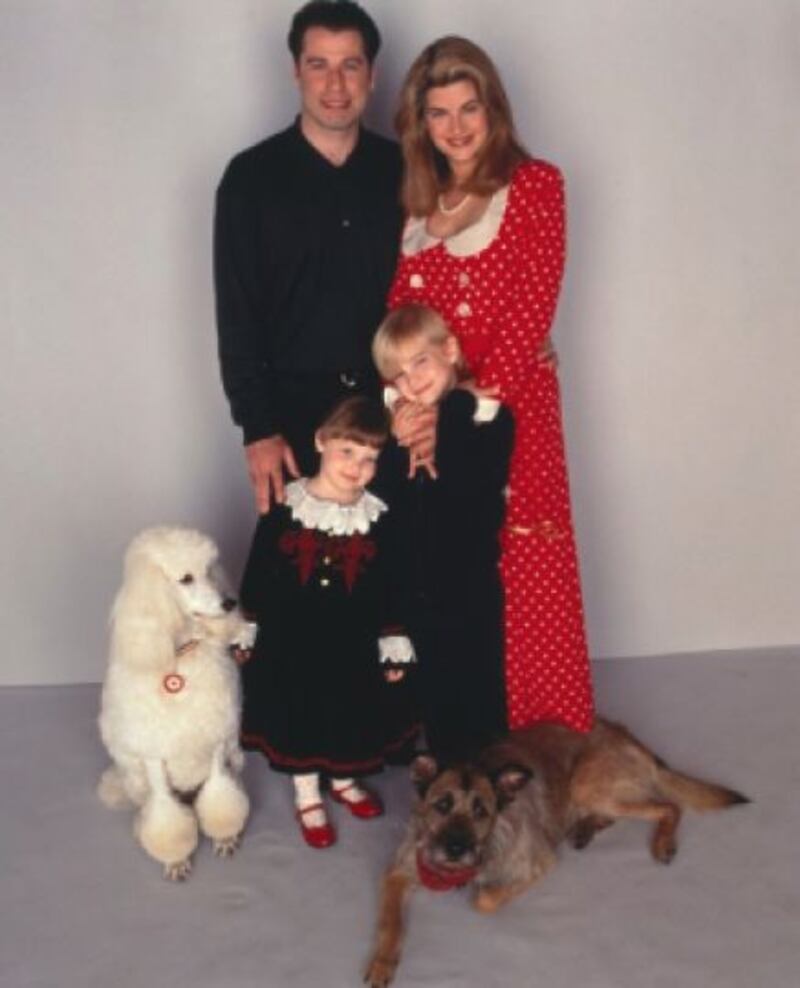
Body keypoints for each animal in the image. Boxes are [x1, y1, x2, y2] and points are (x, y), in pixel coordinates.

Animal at [97, 527, 256, 880]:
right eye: (186, 578)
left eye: (211, 570)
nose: (230, 602)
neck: (179, 659)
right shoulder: (154, 757)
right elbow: (165, 817)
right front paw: (176, 858)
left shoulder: (216, 743)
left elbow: (220, 795)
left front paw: (225, 836)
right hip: (135, 776)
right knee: (147, 808)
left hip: (234, 756)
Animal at [364, 717, 748, 986]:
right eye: (441, 805)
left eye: (481, 812)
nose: (456, 850)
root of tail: (629, 737)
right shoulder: (397, 871)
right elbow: (389, 923)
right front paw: (382, 962)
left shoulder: (538, 864)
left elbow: (484, 900)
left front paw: (480, 893)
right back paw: (584, 828)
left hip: (587, 783)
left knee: (669, 806)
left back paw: (661, 841)